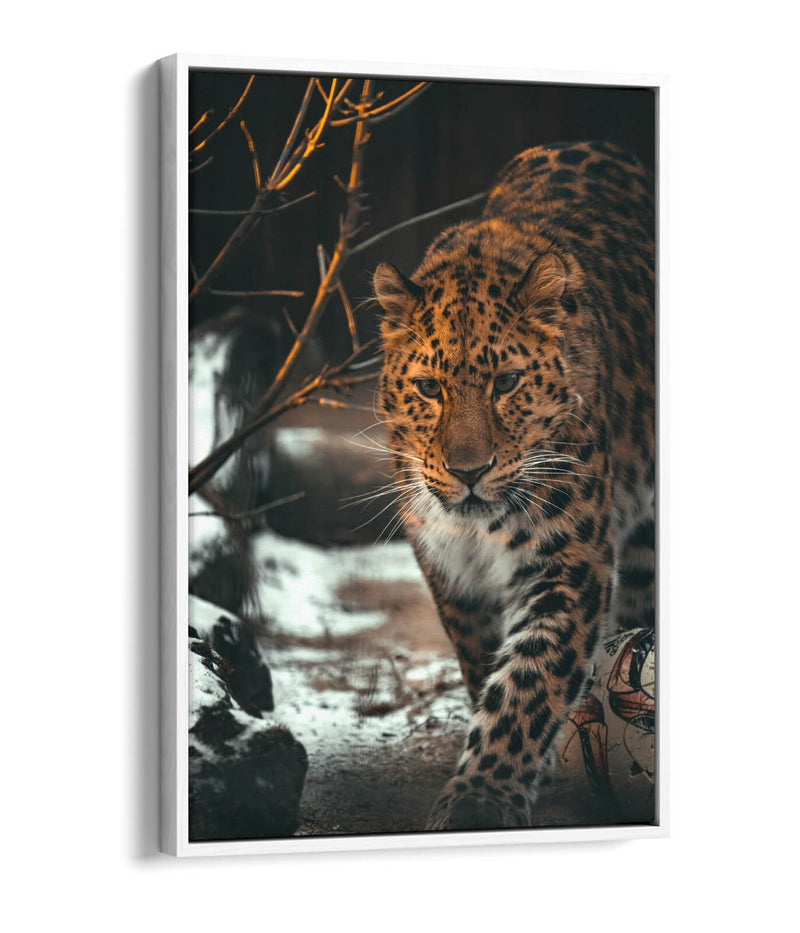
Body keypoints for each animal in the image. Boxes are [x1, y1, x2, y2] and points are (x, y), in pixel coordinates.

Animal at [372, 140, 655, 831]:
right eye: (429, 388)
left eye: (505, 383)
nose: (468, 471)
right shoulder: (449, 566)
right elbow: (486, 663)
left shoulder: (568, 560)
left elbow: (531, 680)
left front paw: (482, 799)